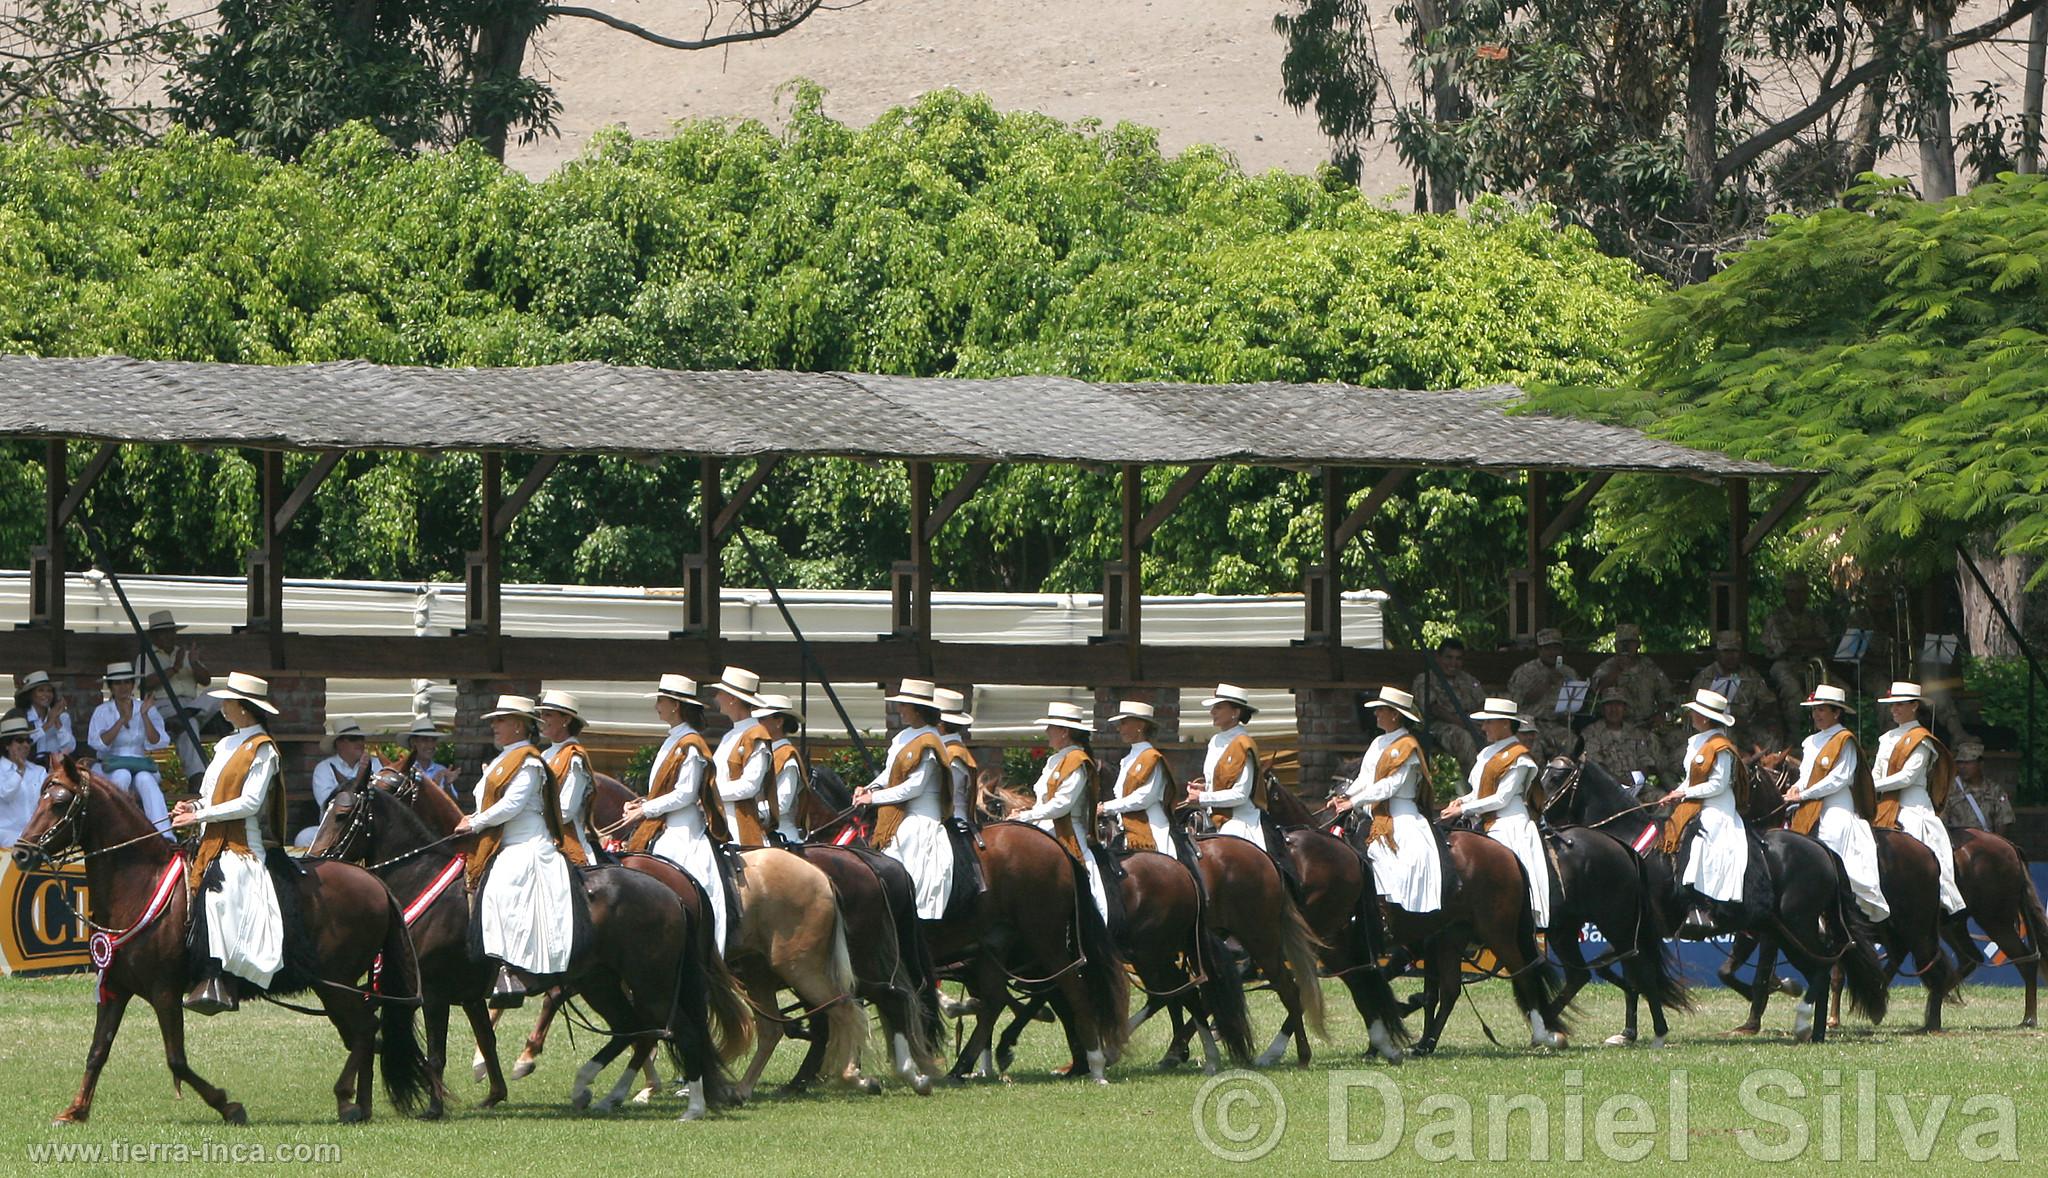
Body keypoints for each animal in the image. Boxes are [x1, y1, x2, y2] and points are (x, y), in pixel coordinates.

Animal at [12, 762, 432, 1130]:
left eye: (60, 802)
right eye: (41, 795)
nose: (20, 852)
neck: (141, 884)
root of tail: (375, 883)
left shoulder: (164, 993)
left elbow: (177, 1060)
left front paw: (228, 1105)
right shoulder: (115, 987)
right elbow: (97, 1051)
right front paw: (74, 1111)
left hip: (335, 985)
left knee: (365, 1030)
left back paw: (346, 1099)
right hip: (339, 988)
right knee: (366, 1033)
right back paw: (362, 1104)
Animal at [1540, 753, 1875, 1040]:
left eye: (1557, 779)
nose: (1541, 821)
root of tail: (1821, 849)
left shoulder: (1636, 929)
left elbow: (1627, 972)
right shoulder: (1630, 931)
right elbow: (1619, 971)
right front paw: (1628, 1032)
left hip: (1798, 927)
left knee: (1822, 969)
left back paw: (1807, 1024)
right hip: (1785, 931)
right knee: (1822, 967)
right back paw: (1811, 1028)